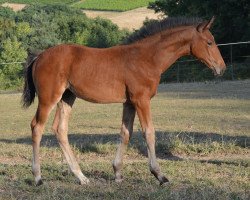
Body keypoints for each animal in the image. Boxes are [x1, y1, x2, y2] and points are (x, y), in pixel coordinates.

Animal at [22, 16, 226, 185]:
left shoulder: (129, 102)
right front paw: (159, 175)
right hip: (49, 98)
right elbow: (149, 132)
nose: (221, 68)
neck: (146, 58)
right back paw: (38, 177)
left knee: (60, 129)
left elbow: (126, 132)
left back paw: (81, 177)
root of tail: (39, 56)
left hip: (67, 97)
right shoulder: (141, 100)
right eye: (209, 42)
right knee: (37, 127)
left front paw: (118, 173)